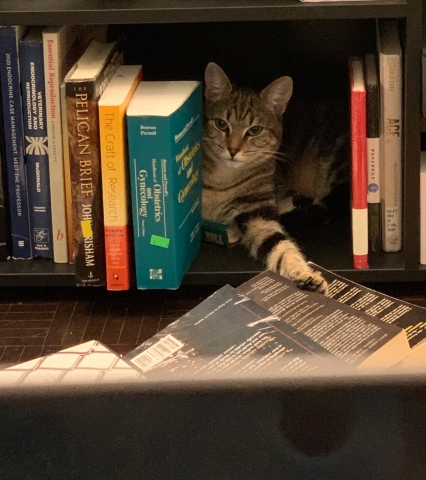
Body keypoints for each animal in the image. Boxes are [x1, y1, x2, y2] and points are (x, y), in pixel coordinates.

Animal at [202, 62, 350, 294]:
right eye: (221, 124)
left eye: (254, 130)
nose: (233, 150)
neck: (223, 179)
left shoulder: (257, 212)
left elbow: (281, 247)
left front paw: (303, 272)